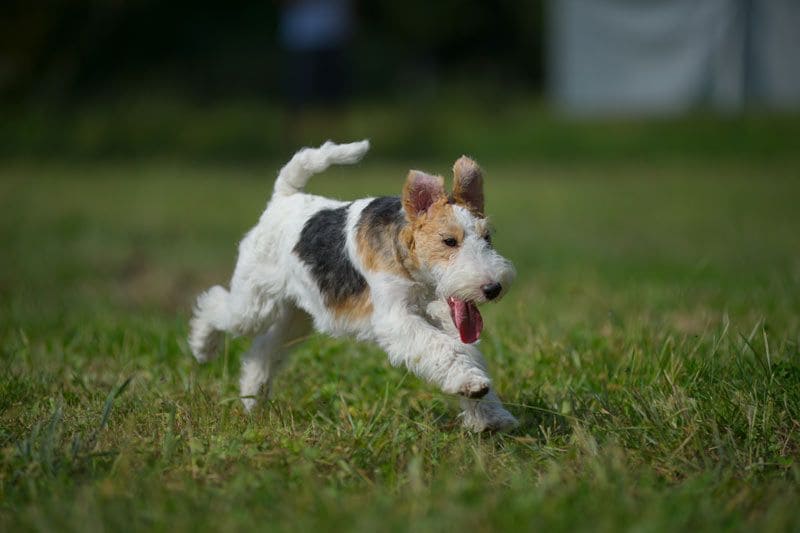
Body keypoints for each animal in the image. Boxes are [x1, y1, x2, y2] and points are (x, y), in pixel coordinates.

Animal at [191, 139, 520, 430]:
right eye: (449, 241)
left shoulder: (448, 319)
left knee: (261, 351)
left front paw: (489, 413)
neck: (408, 257)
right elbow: (443, 349)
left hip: (295, 317)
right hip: (254, 303)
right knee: (214, 303)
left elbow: (464, 352)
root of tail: (284, 199)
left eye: (487, 236)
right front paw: (472, 386)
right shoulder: (396, 318)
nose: (493, 288)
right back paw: (202, 349)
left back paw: (252, 399)